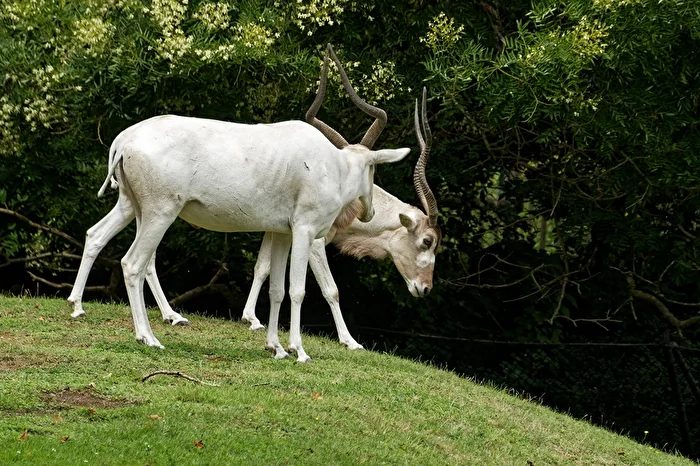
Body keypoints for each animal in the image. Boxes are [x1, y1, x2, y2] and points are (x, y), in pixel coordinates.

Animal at [68, 44, 409, 362]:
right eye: (374, 169)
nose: (370, 211)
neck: (334, 165)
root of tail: (125, 140)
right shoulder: (305, 231)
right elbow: (298, 290)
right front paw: (299, 351)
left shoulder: (282, 233)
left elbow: (277, 289)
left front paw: (276, 348)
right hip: (160, 213)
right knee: (133, 264)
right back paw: (148, 337)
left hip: (134, 207)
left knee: (100, 237)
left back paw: (82, 307)